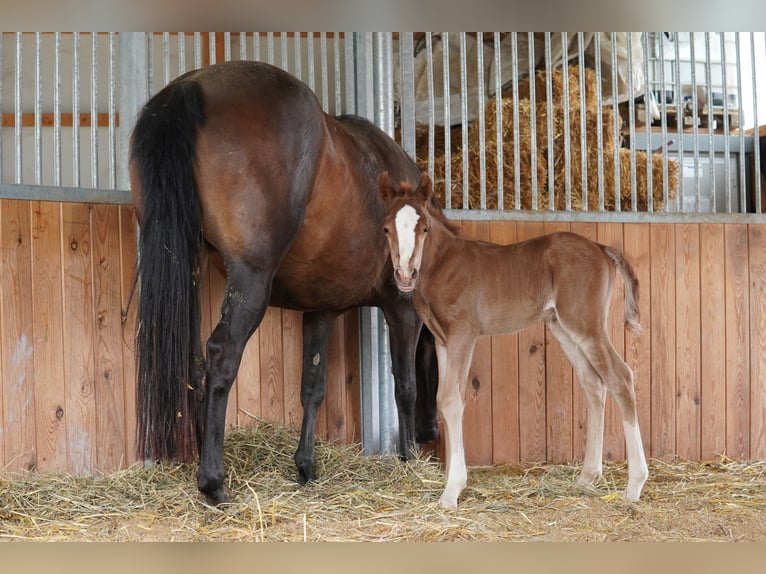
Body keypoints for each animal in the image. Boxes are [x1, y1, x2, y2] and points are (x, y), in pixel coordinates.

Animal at [128, 60, 436, 506]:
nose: (432, 433)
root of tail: (190, 88)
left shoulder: (320, 310)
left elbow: (313, 386)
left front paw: (306, 465)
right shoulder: (403, 308)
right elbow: (405, 384)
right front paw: (408, 458)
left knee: (197, 363)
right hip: (251, 280)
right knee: (221, 356)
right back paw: (213, 482)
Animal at [378, 173, 648, 510]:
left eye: (424, 228)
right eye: (386, 228)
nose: (405, 275)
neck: (443, 265)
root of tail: (601, 247)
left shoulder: (463, 333)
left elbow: (452, 399)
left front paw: (452, 491)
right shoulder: (441, 339)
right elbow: (442, 399)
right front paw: (450, 478)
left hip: (586, 326)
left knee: (620, 377)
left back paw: (635, 485)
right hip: (563, 327)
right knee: (593, 383)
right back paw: (588, 476)